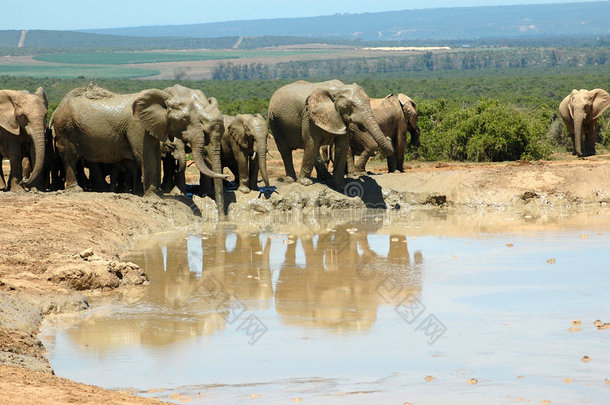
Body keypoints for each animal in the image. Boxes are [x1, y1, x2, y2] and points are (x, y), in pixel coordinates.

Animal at [51, 83, 226, 202]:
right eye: (184, 120)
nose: (224, 175)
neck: (164, 100)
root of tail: (58, 107)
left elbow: (154, 155)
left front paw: (158, 194)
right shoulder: (137, 126)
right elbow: (145, 155)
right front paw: (153, 196)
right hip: (65, 128)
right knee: (70, 157)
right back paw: (77, 190)